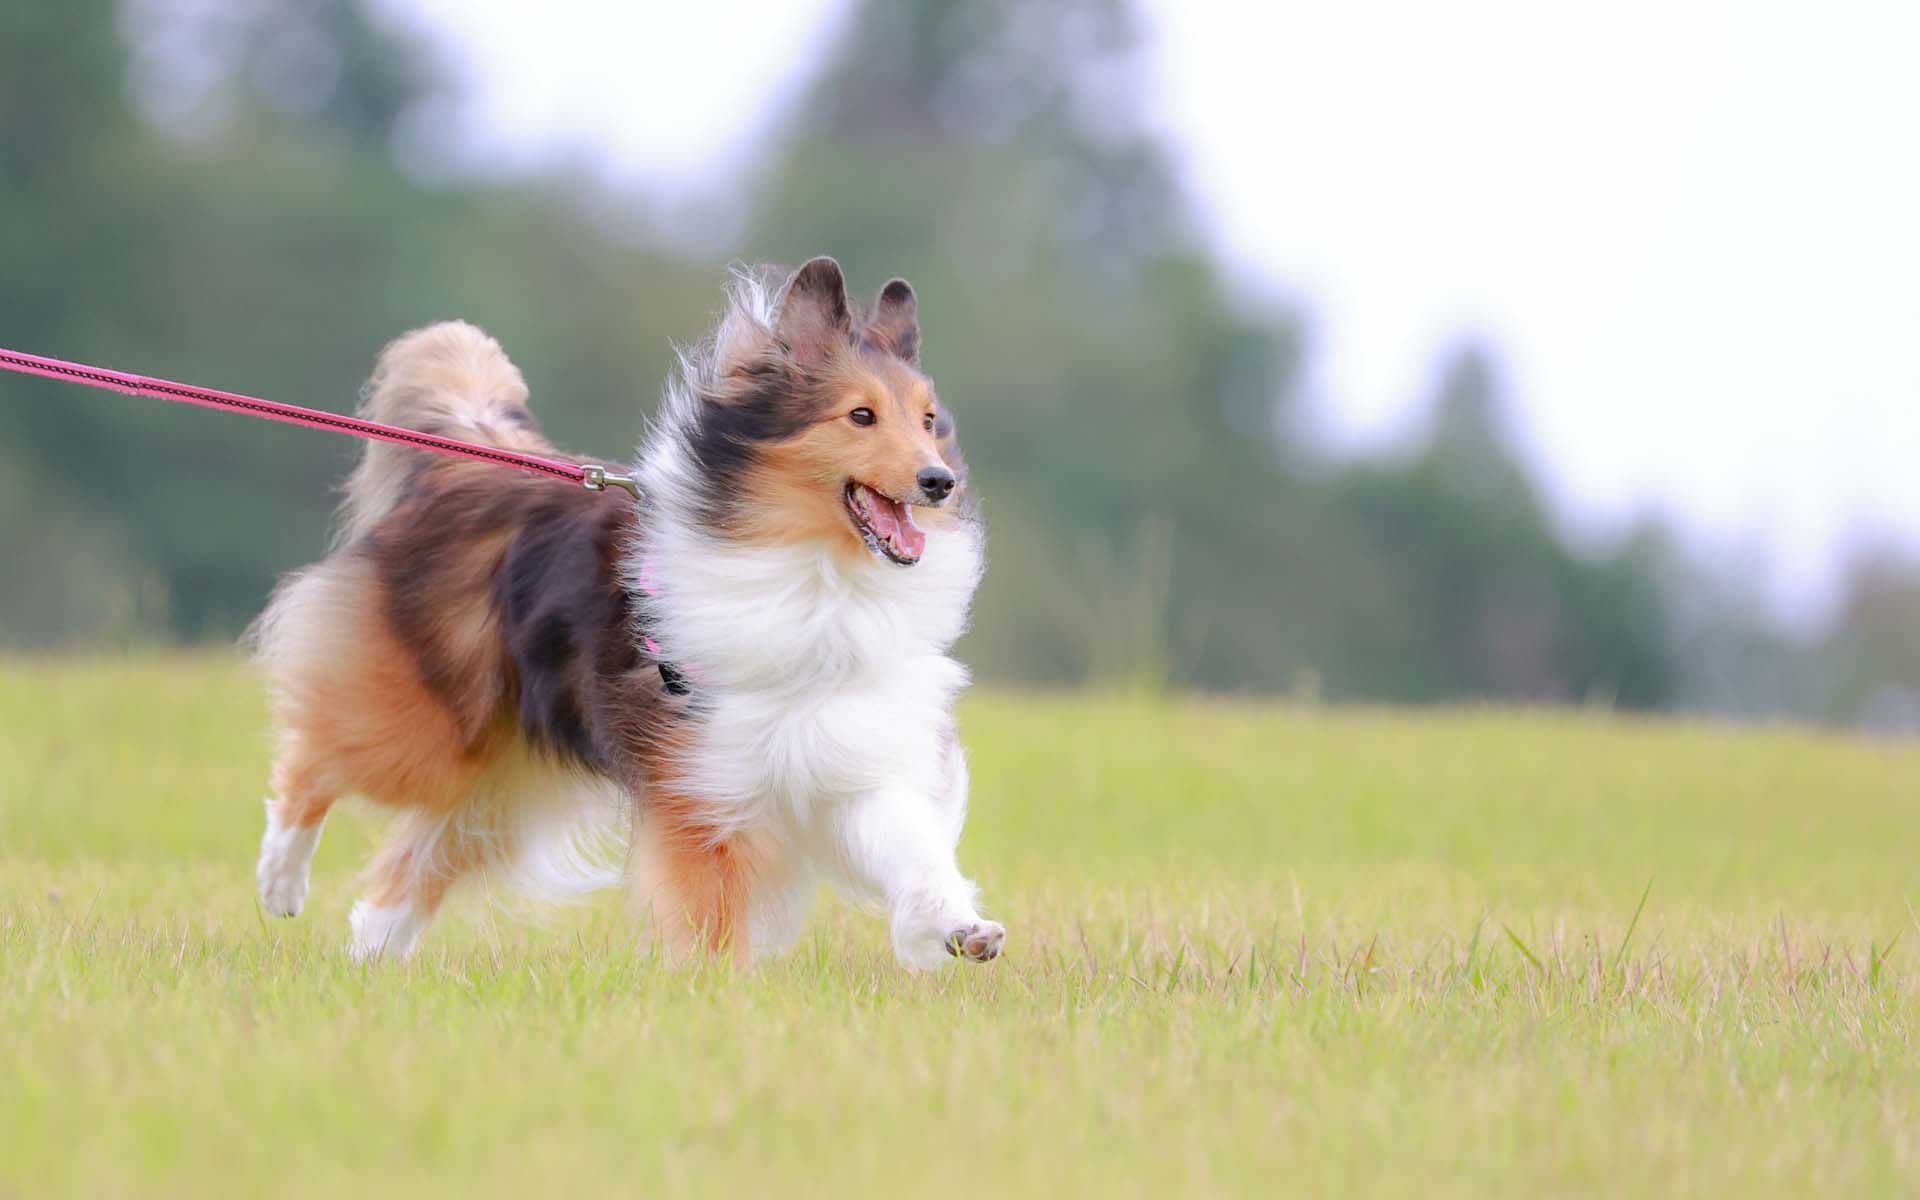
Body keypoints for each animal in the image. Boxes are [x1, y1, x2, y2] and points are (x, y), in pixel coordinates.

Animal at [251, 259, 1006, 963]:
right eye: (860, 415)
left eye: (929, 420)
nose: (939, 482)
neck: (820, 581)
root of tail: (466, 464)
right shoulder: (705, 787)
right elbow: (711, 914)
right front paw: (713, 989)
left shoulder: (841, 753)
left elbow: (910, 846)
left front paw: (962, 927)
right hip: (429, 725)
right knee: (314, 764)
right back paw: (281, 882)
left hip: (509, 770)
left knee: (416, 861)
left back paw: (371, 956)